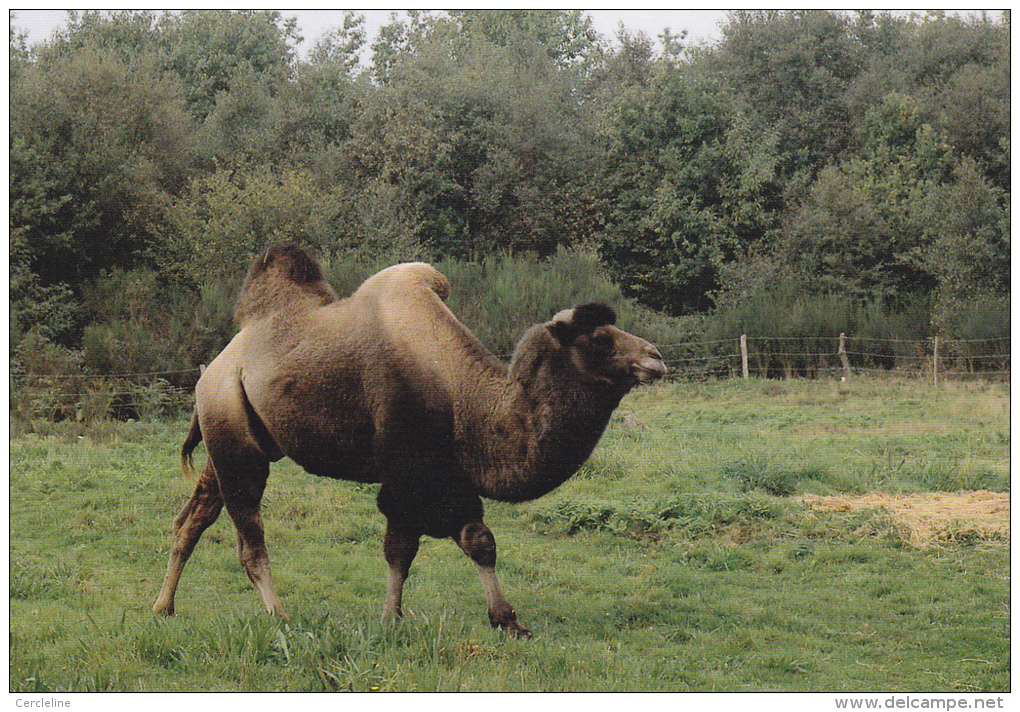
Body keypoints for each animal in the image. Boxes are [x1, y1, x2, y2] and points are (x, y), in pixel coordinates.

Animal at [147, 241, 665, 636]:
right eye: (599, 339)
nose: (655, 357)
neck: (462, 394)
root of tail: (217, 365)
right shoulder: (408, 469)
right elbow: (406, 545)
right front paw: (391, 619)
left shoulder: (445, 471)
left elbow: (477, 539)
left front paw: (507, 621)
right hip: (234, 435)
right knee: (249, 538)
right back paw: (280, 616)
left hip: (228, 434)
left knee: (192, 518)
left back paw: (163, 607)